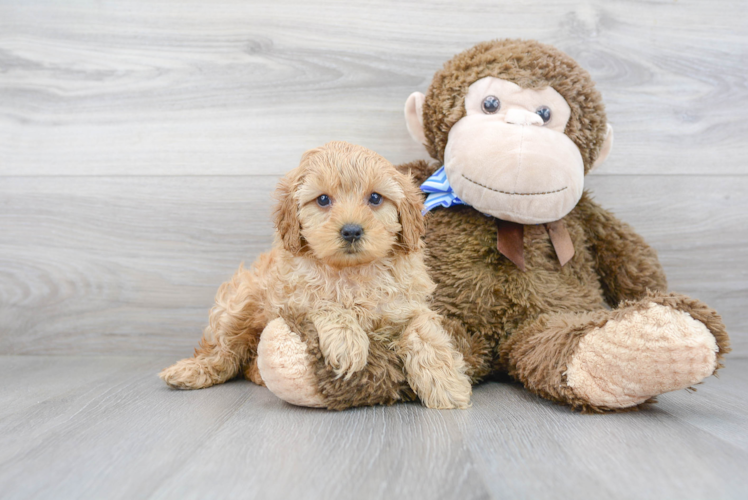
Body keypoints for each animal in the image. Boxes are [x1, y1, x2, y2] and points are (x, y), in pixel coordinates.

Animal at [161, 141, 470, 410]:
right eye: (322, 199)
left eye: (375, 198)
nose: (351, 231)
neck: (352, 271)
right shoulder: (292, 299)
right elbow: (326, 303)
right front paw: (347, 342)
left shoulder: (407, 305)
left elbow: (425, 334)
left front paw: (447, 384)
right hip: (239, 303)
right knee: (223, 351)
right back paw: (191, 371)